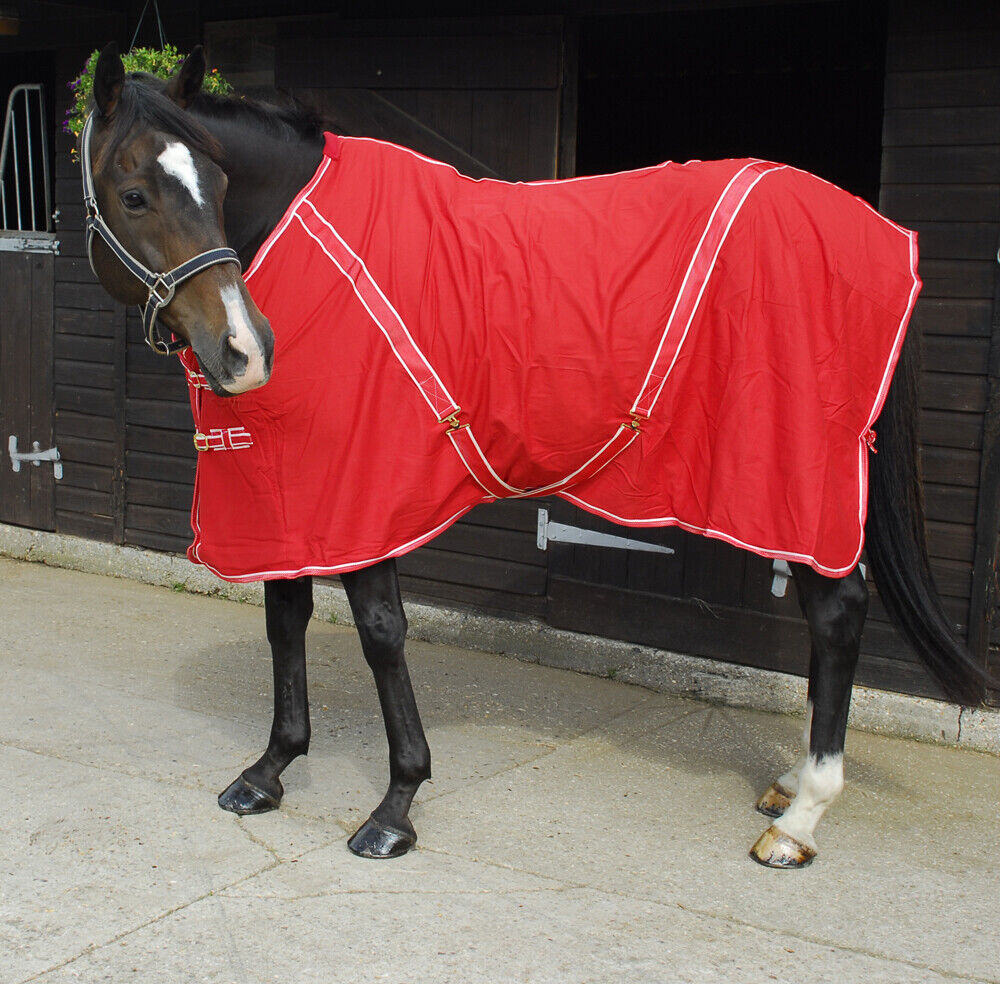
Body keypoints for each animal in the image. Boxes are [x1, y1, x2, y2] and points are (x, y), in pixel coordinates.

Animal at [80, 42, 988, 869]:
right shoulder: (290, 497)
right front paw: (269, 771)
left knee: (836, 615)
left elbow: (380, 634)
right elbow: (284, 619)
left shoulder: (365, 493)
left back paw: (801, 818)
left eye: (220, 185)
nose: (244, 350)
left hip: (794, 483)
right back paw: (792, 786)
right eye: (135, 195)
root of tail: (880, 233)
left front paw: (395, 807)